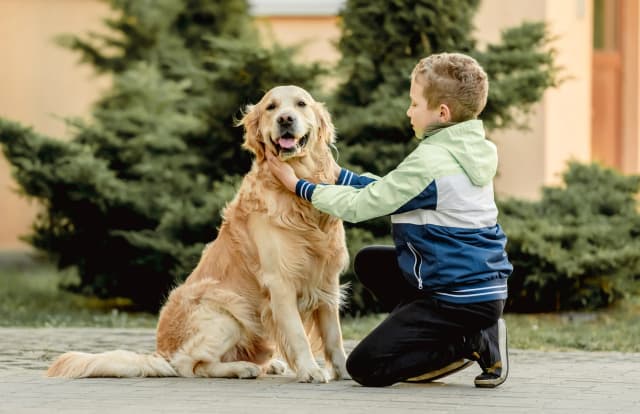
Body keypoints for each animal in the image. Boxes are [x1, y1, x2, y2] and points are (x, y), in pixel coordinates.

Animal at [46, 85, 350, 384]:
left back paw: (267, 364)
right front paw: (310, 370)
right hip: (226, 310)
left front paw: (346, 371)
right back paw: (241, 368)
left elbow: (334, 336)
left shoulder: (326, 279)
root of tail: (161, 352)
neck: (297, 192)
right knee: (191, 365)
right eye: (271, 107)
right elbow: (297, 333)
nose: (285, 119)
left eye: (301, 104)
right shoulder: (280, 280)